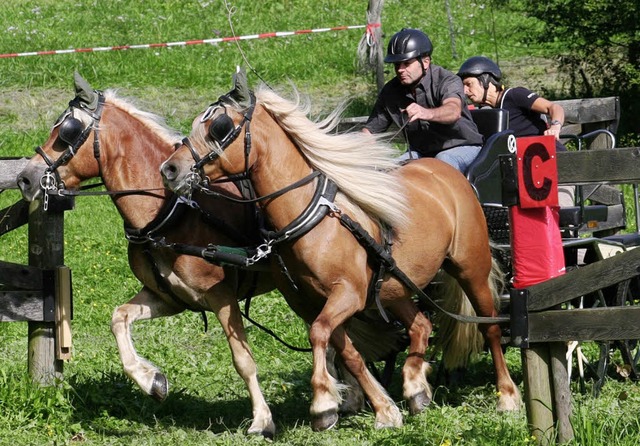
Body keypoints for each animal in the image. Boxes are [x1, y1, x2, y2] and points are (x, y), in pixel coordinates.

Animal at [160, 77, 520, 432]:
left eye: (220, 128)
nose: (170, 169)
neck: (311, 216)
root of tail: (446, 173)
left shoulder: (347, 295)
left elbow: (319, 334)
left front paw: (323, 402)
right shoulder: (313, 301)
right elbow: (348, 352)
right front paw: (384, 410)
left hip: (471, 268)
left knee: (489, 327)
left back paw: (506, 396)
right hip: (395, 287)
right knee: (420, 325)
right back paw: (416, 387)